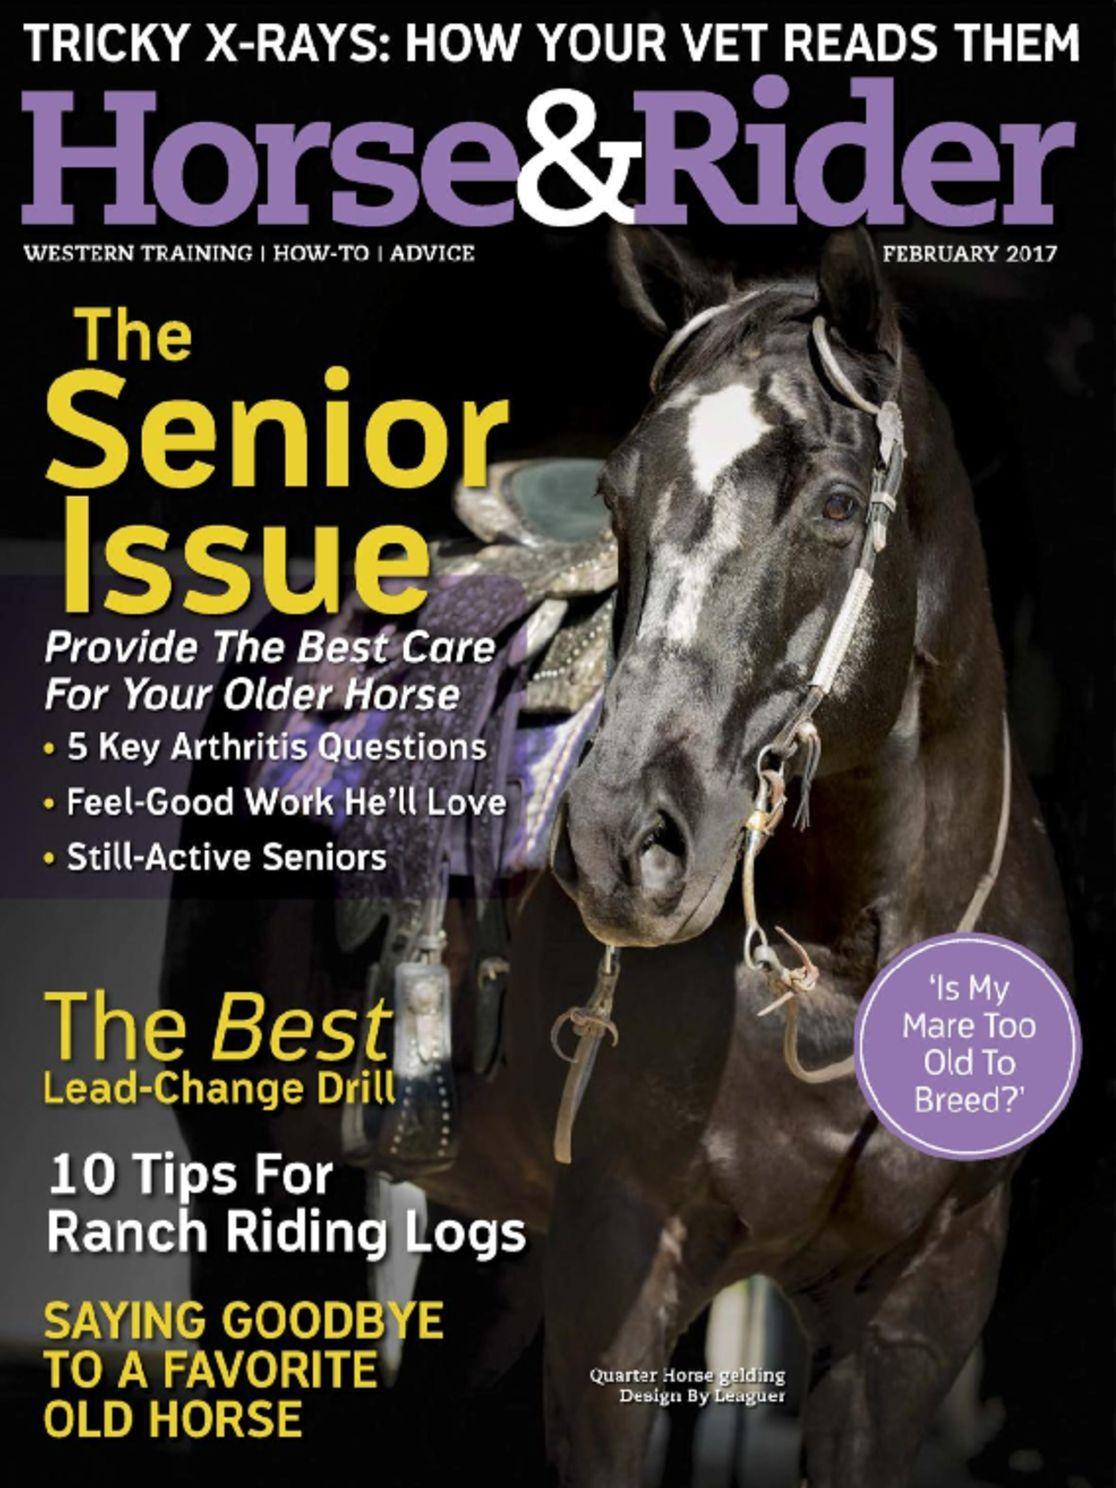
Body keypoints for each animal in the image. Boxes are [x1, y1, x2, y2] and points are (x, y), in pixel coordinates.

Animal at [162, 226, 1071, 1487]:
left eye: (840, 503)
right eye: (616, 494)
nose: (614, 840)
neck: (852, 963)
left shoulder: (921, 1305)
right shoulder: (620, 1263)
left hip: (490, 1233)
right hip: (254, 1178)